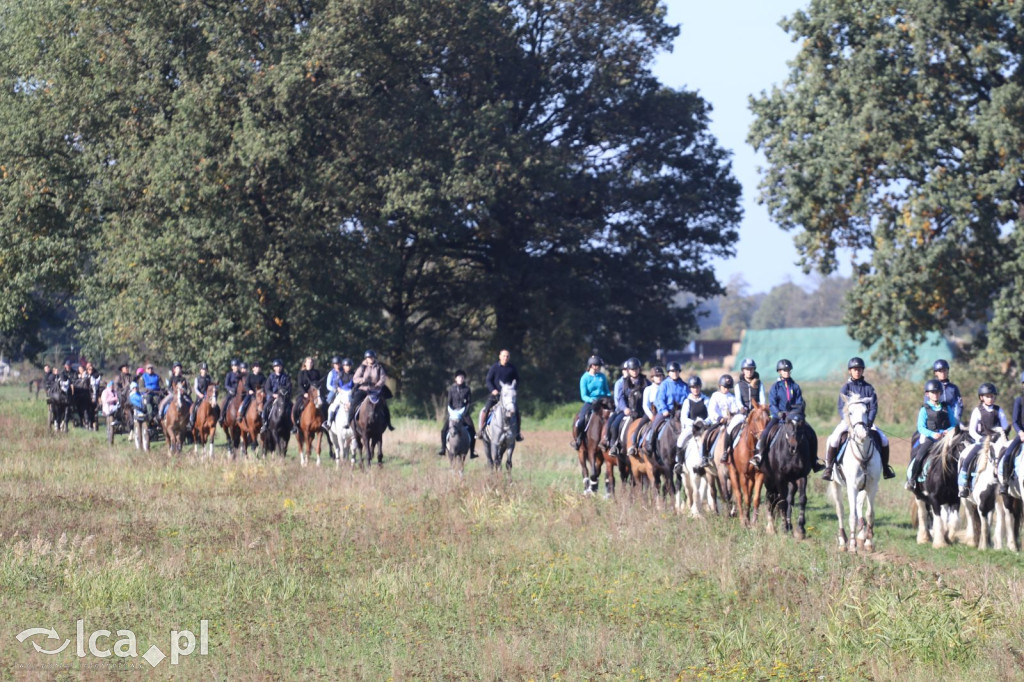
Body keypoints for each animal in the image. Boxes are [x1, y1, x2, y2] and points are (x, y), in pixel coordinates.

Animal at [765, 405, 819, 540]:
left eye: (802, 423)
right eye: (788, 422)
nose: (793, 446)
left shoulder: (802, 476)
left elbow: (801, 499)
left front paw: (800, 529)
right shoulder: (780, 478)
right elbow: (782, 502)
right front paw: (784, 528)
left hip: (791, 481)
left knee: (788, 498)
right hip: (769, 480)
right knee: (770, 498)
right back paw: (771, 527)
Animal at [827, 393, 884, 552]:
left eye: (866, 411)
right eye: (850, 412)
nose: (862, 434)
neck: (863, 454)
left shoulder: (872, 486)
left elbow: (870, 514)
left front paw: (868, 543)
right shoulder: (851, 487)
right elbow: (851, 516)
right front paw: (852, 546)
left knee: (859, 507)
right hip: (836, 485)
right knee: (840, 510)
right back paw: (843, 541)